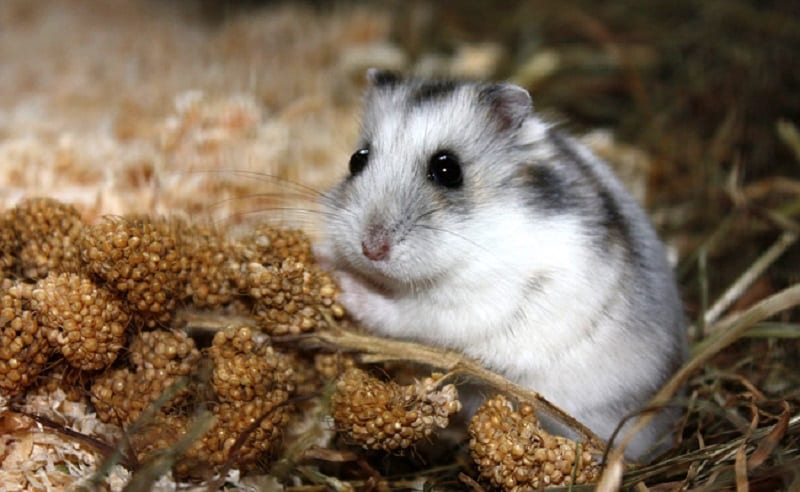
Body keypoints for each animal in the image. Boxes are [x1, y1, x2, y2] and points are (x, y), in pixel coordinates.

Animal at [320, 70, 687, 460]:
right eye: (356, 160)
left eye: (448, 169)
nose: (370, 249)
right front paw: (323, 256)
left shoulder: (470, 305)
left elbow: (402, 314)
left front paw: (345, 285)